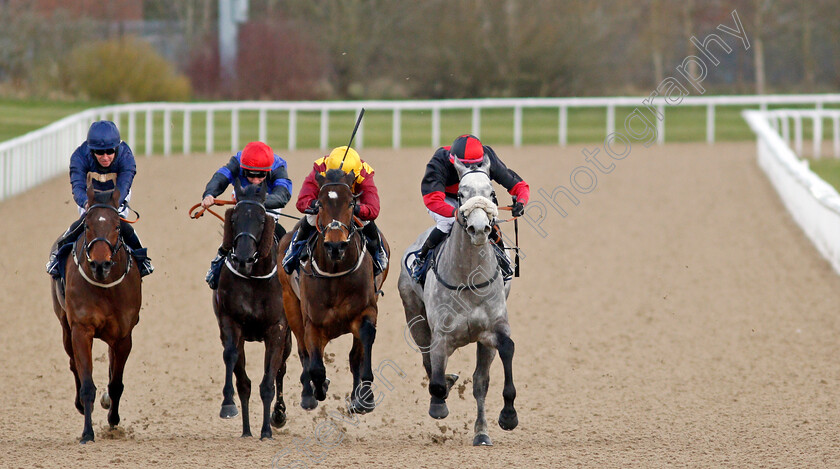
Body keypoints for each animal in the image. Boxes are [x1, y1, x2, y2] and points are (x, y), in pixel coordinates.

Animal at [50, 186, 141, 442]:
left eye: (117, 226)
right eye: (88, 225)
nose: (100, 265)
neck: (105, 287)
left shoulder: (123, 336)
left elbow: (116, 383)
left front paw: (113, 421)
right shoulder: (81, 330)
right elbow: (87, 384)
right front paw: (87, 433)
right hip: (65, 326)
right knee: (73, 363)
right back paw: (81, 405)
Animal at [213, 179, 292, 438]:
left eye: (260, 220)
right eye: (235, 219)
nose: (243, 259)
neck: (254, 277)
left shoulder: (277, 329)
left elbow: (268, 381)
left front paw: (267, 429)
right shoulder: (230, 322)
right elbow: (235, 366)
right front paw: (228, 406)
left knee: (281, 370)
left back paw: (278, 415)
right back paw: (247, 429)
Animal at [278, 167, 390, 414]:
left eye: (351, 203)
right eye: (319, 204)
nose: (336, 245)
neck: (335, 274)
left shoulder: (366, 311)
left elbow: (362, 347)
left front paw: (364, 397)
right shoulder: (312, 323)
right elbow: (315, 366)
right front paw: (319, 389)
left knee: (354, 354)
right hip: (290, 304)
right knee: (303, 352)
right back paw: (308, 395)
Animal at [396, 155, 520, 444]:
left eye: (492, 193)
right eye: (461, 194)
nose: (479, 228)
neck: (468, 279)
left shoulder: (493, 329)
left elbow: (500, 358)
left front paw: (506, 418)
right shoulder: (442, 334)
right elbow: (436, 371)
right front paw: (438, 404)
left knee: (477, 380)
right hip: (414, 315)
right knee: (427, 357)